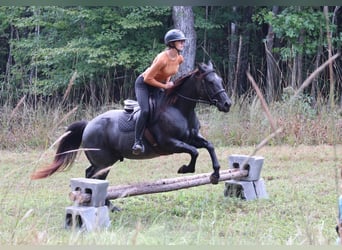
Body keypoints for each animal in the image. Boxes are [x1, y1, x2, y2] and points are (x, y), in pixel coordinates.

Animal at [30, 62, 231, 188]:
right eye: (210, 82)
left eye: (221, 80)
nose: (227, 104)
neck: (179, 109)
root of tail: (88, 125)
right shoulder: (170, 143)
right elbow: (194, 152)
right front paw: (185, 169)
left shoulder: (193, 137)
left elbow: (209, 147)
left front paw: (215, 175)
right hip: (103, 161)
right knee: (93, 176)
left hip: (105, 161)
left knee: (91, 174)